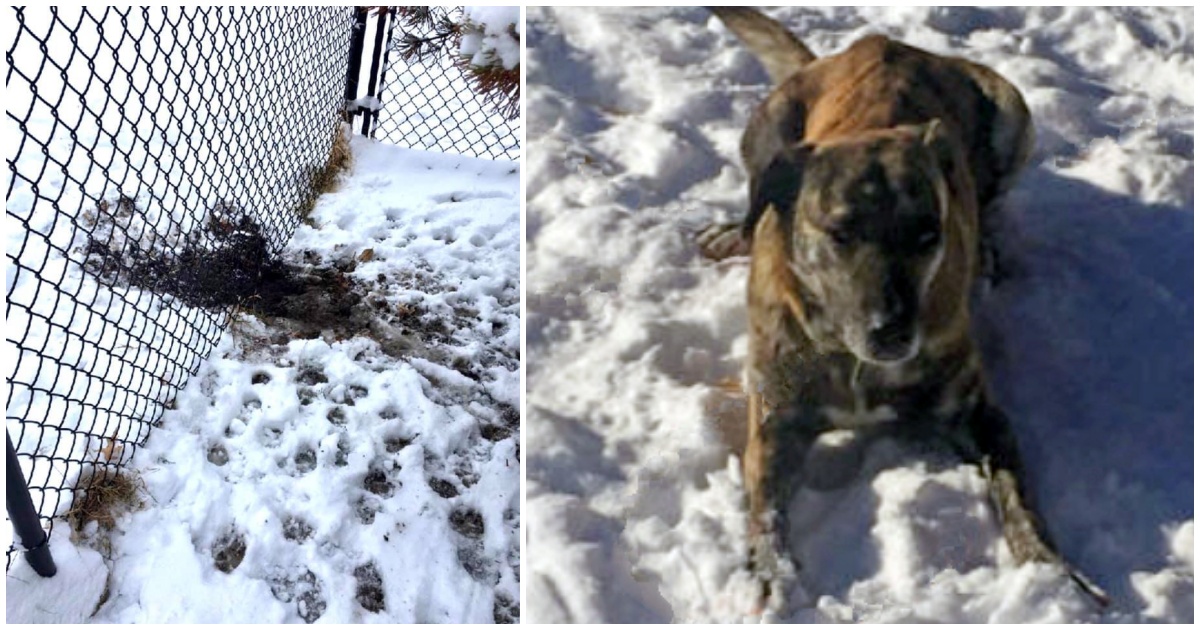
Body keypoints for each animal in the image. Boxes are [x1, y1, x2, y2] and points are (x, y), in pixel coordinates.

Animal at [700, 6, 1104, 609]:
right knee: (756, 192)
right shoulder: (775, 419)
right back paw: (734, 229)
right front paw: (774, 578)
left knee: (992, 198)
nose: (891, 331)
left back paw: (987, 249)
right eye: (840, 232)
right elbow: (765, 511)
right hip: (764, 126)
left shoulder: (981, 415)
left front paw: (1056, 574)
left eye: (927, 235)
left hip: (1014, 112)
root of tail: (877, 44)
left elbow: (1021, 499)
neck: (851, 358)